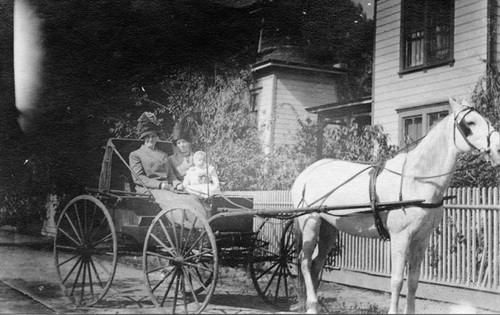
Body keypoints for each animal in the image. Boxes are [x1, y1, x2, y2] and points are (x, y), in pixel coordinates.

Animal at [292, 97, 500, 314]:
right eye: (470, 122)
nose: (497, 148)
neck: (416, 180)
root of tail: (306, 173)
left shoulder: (421, 239)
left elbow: (414, 282)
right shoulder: (400, 237)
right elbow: (397, 280)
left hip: (328, 229)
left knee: (316, 263)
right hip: (310, 223)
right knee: (305, 261)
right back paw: (312, 305)